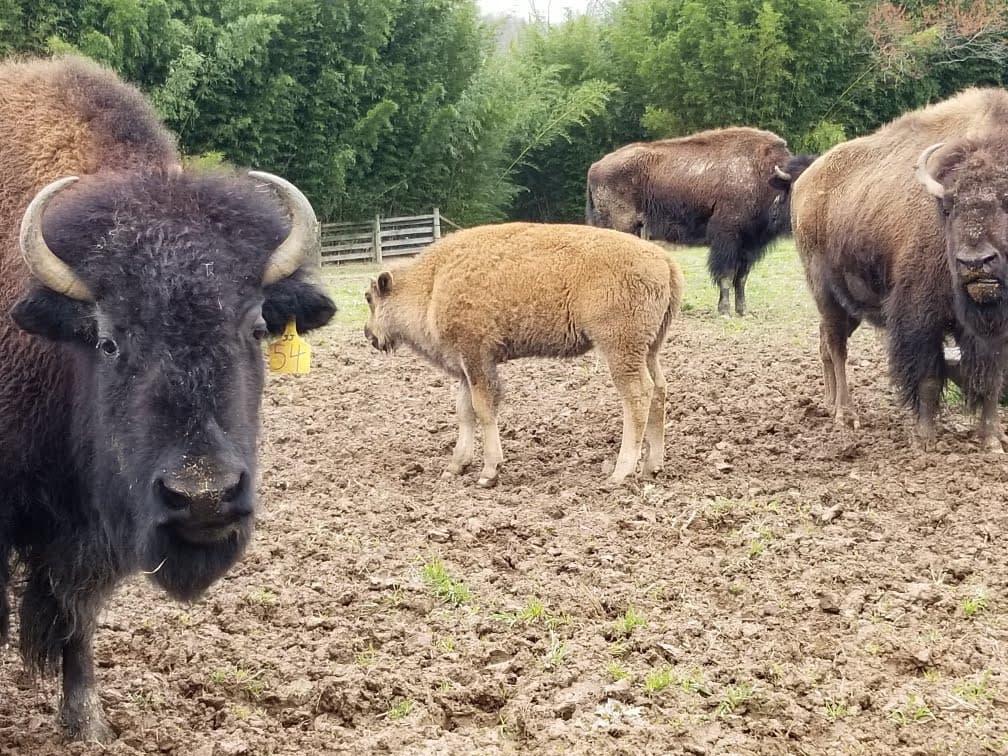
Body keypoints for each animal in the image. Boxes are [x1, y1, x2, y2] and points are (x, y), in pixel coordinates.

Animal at [0, 56, 335, 741]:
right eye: (107, 340)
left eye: (256, 327)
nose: (203, 497)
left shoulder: (89, 537)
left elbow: (77, 616)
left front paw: (90, 726)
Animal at [586, 127, 814, 315]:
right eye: (796, 188)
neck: (762, 176)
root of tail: (595, 167)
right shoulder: (727, 239)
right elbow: (726, 275)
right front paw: (724, 311)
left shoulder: (749, 246)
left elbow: (741, 278)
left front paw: (742, 311)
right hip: (620, 228)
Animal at [791, 87, 1008, 450]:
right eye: (948, 207)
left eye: (1007, 202)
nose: (974, 263)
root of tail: (804, 182)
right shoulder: (920, 317)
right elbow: (929, 377)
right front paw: (925, 439)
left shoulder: (992, 330)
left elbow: (990, 379)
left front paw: (991, 441)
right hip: (825, 291)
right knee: (836, 347)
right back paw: (846, 416)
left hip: (853, 305)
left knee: (825, 343)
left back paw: (830, 404)